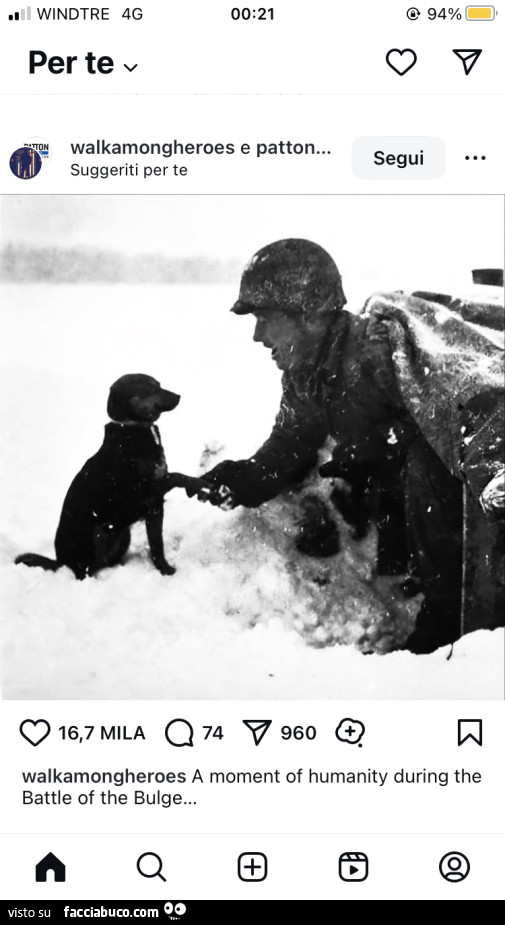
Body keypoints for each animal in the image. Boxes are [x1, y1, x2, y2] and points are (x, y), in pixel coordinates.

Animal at [16, 374, 205, 576]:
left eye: (159, 385)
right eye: (149, 388)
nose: (178, 396)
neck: (134, 427)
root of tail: (61, 561)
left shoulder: (155, 507)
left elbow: (157, 545)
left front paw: (165, 570)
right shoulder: (140, 491)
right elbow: (175, 476)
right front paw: (198, 483)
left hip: (123, 535)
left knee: (105, 562)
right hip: (97, 533)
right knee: (87, 570)